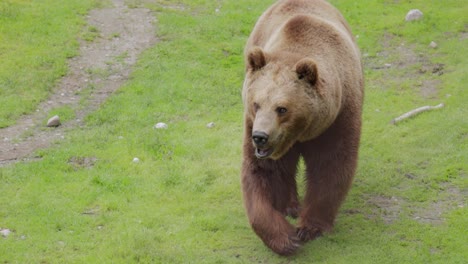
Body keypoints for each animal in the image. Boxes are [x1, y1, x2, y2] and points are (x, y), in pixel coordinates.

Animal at [239, 0, 364, 256]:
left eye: (282, 109)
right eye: (256, 104)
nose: (260, 137)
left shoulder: (338, 118)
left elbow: (331, 166)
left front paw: (309, 228)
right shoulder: (251, 124)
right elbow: (262, 172)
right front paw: (285, 238)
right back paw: (290, 205)